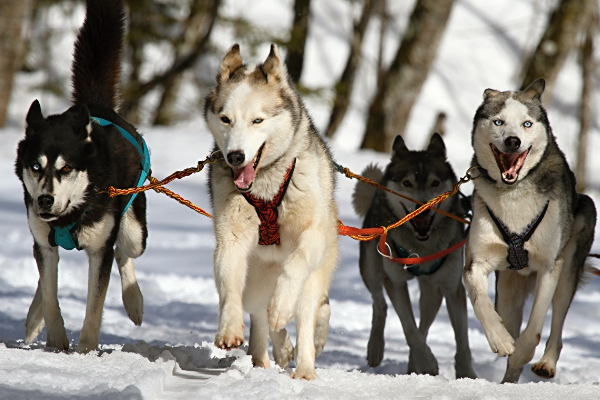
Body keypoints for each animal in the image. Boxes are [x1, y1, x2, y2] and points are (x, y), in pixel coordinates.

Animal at [14, 0, 148, 352]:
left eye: (66, 168)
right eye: (36, 166)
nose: (45, 200)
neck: (69, 215)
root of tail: (96, 106)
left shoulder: (100, 250)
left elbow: (95, 306)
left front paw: (86, 349)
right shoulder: (44, 243)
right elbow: (50, 295)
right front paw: (57, 342)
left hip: (134, 230)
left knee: (124, 252)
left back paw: (134, 301)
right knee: (43, 277)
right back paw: (34, 318)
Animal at [205, 44, 338, 382]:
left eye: (257, 120)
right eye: (225, 119)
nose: (235, 156)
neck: (265, 186)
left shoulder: (311, 236)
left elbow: (296, 264)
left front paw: (281, 306)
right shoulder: (230, 240)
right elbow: (229, 286)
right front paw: (229, 328)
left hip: (315, 275)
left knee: (307, 314)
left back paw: (304, 367)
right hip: (255, 280)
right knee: (260, 317)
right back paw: (270, 354)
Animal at [354, 134, 476, 378]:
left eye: (435, 183)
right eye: (407, 183)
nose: (423, 207)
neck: (421, 247)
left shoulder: (452, 287)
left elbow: (462, 340)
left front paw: (467, 374)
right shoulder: (395, 282)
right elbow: (409, 329)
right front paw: (428, 362)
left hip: (432, 291)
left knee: (425, 324)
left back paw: (413, 366)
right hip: (371, 268)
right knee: (379, 304)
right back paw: (376, 348)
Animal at [464, 77, 596, 382]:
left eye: (526, 123)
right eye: (498, 121)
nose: (513, 141)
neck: (514, 195)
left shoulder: (549, 266)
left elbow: (535, 326)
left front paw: (522, 352)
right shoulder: (476, 262)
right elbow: (480, 300)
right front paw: (500, 339)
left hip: (568, 268)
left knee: (557, 323)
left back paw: (545, 363)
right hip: (507, 290)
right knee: (509, 316)